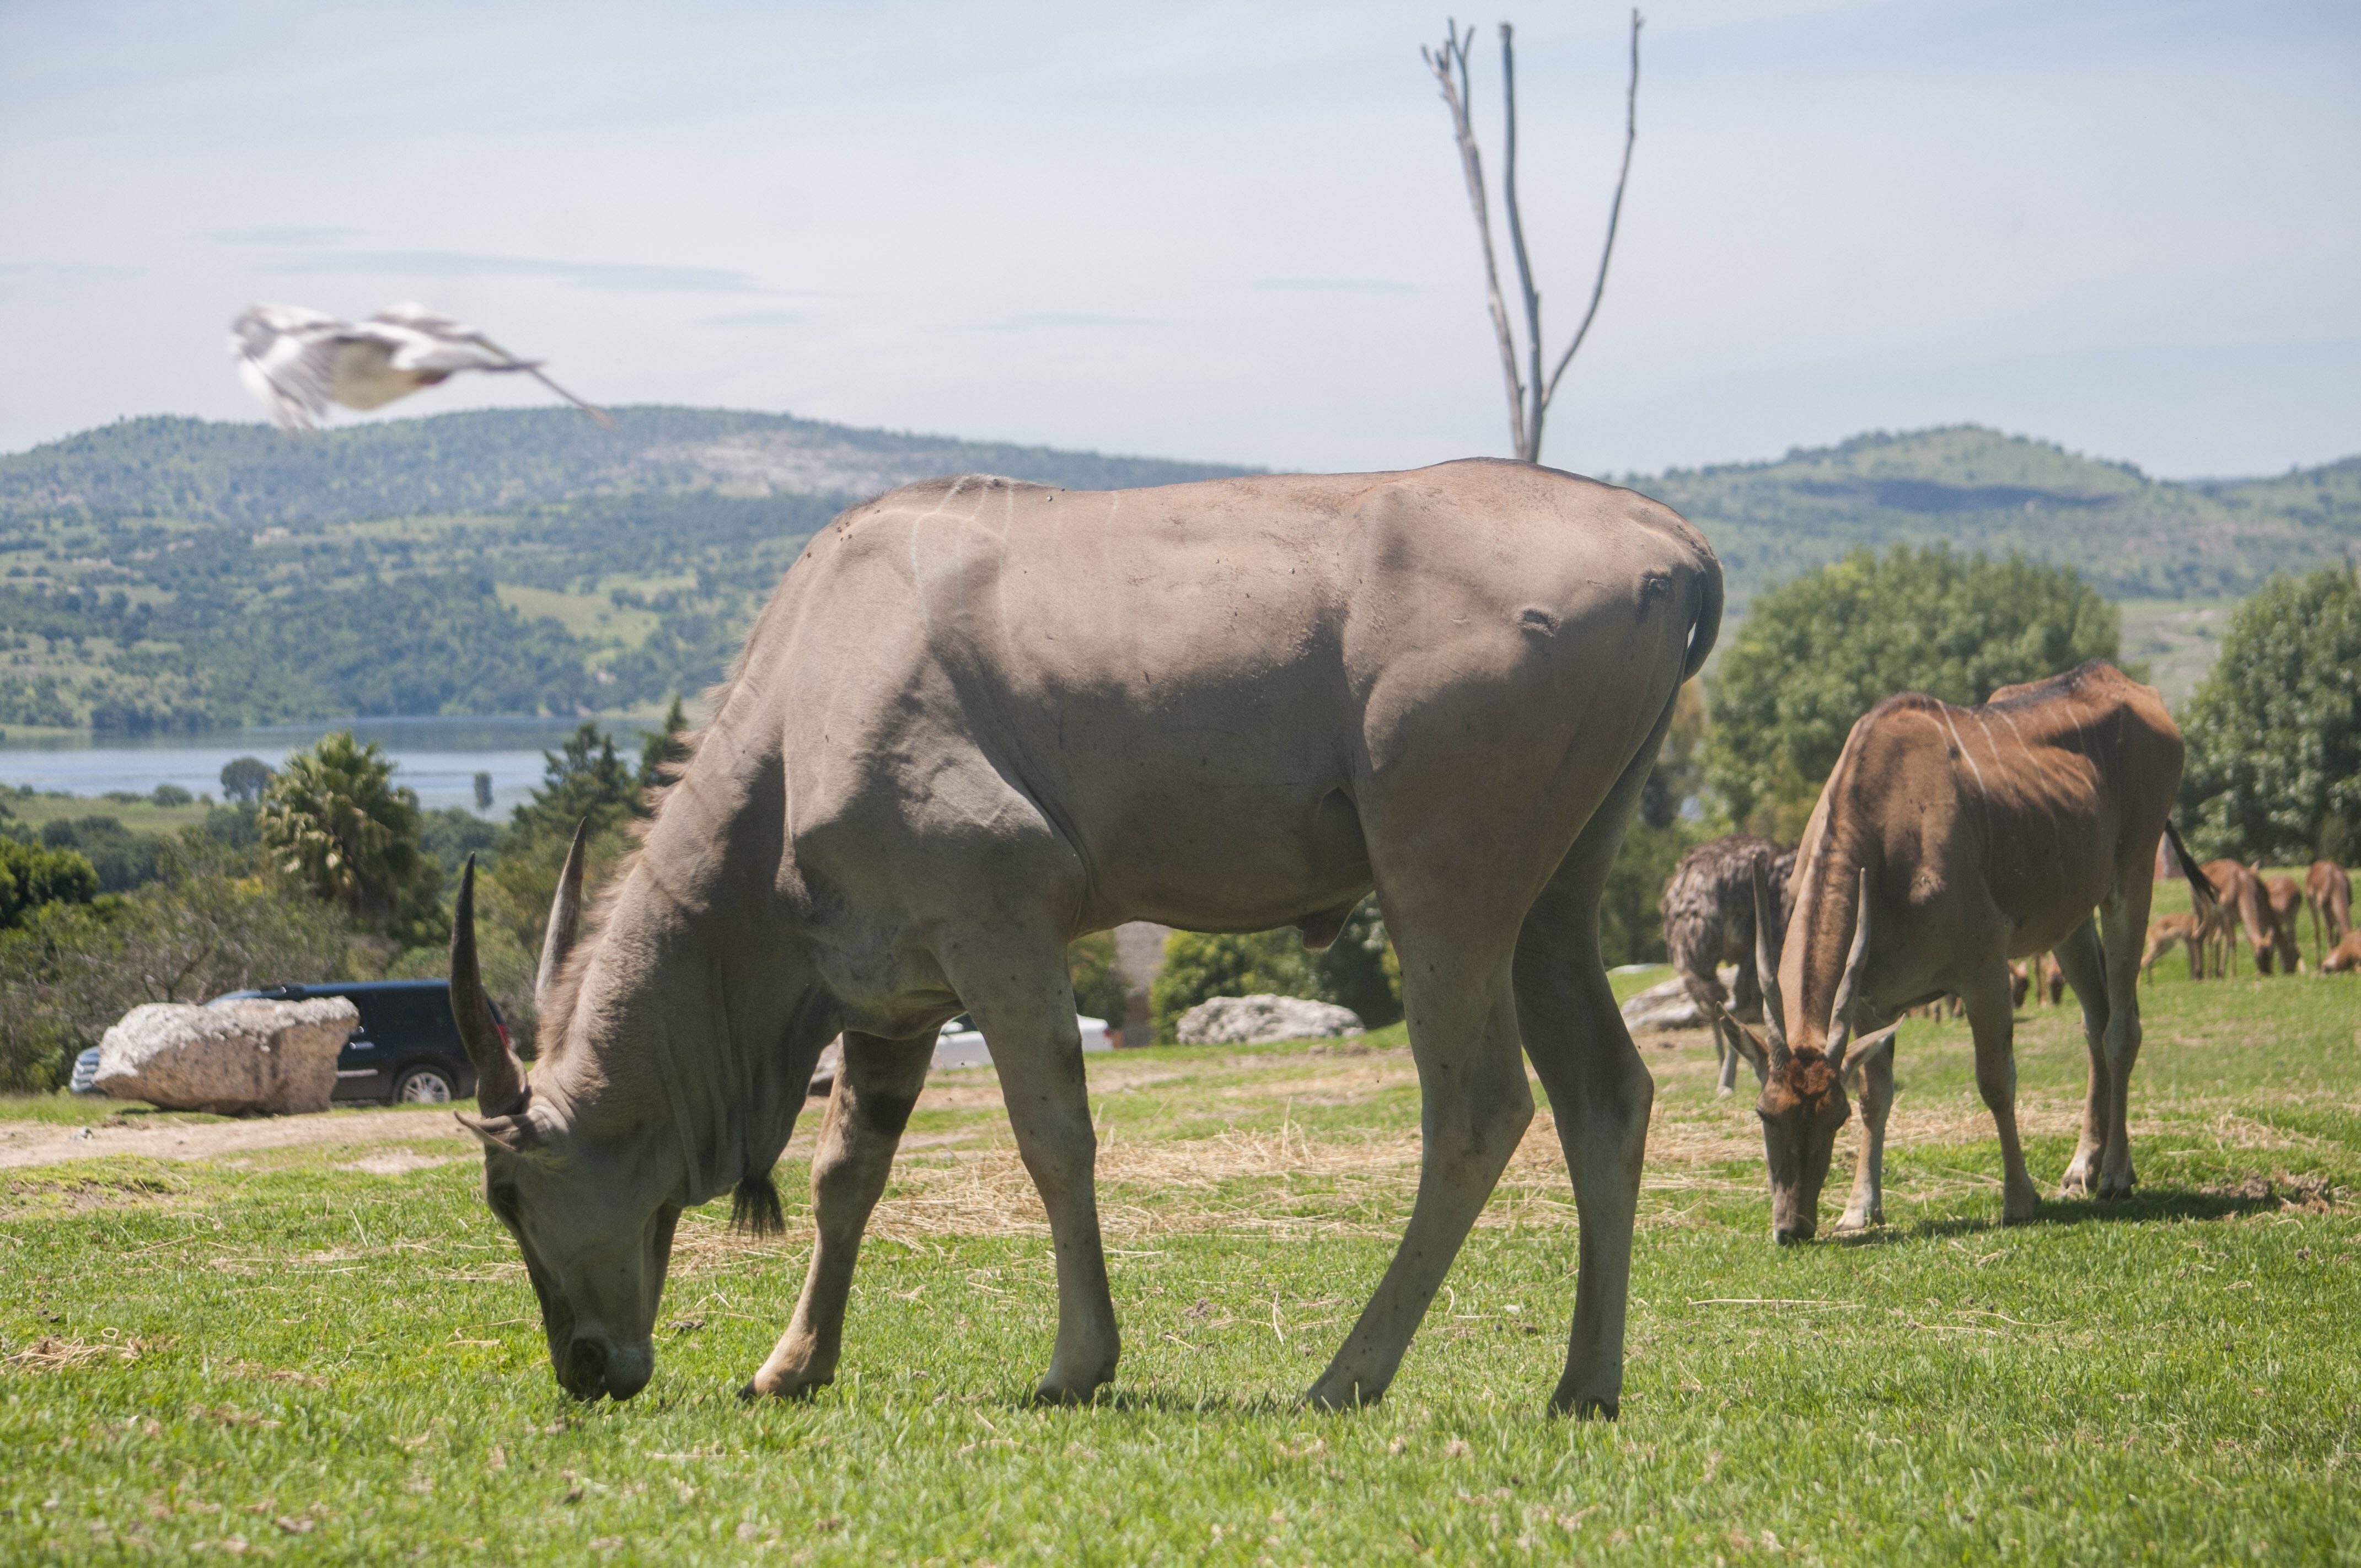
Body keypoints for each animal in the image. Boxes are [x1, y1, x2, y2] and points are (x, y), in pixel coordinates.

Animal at [444, 460, 1728, 1416]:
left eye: (507, 1197)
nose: (586, 1366)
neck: (804, 693)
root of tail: (1668, 541)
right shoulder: (894, 993)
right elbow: (844, 1168)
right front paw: (792, 1363)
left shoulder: (998, 925)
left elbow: (1053, 1136)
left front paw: (1076, 1363)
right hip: (1554, 897)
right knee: (1606, 1092)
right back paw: (1582, 1384)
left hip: (1442, 888)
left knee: (1477, 1108)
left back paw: (1346, 1373)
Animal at [1709, 656, 2200, 1237]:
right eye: (1765, 1113)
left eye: (1834, 1118)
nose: (1793, 1227)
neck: (1885, 826)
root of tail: (2131, 686)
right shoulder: (1873, 1000)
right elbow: (1878, 1094)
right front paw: (1859, 1208)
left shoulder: (1984, 967)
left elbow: (1996, 1081)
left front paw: (2018, 1199)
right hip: (2068, 922)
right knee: (2096, 1023)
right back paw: (2082, 1167)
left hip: (2134, 876)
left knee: (2122, 1028)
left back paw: (2116, 1175)